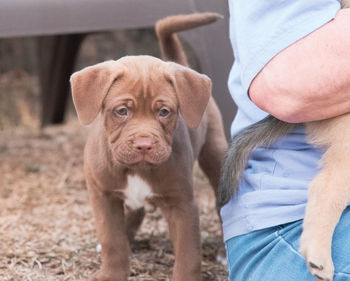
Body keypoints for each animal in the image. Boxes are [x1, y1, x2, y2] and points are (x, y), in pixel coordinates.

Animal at [70, 13, 227, 280]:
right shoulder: (102, 196)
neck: (136, 170)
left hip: (215, 154)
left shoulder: (182, 204)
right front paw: (112, 273)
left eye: (164, 112)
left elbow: (188, 254)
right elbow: (112, 241)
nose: (144, 145)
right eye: (122, 111)